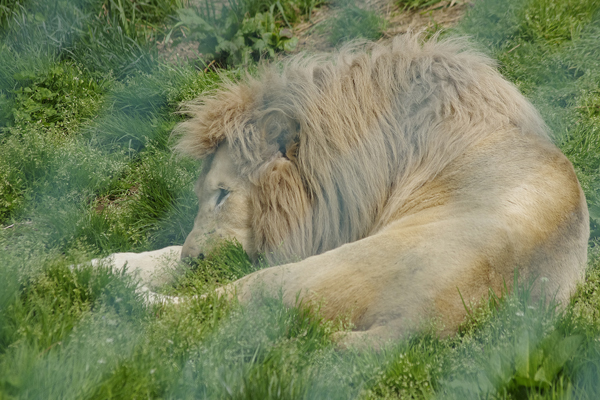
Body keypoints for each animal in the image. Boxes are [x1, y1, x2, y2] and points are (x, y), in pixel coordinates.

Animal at [106, 36, 584, 346]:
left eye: (222, 194)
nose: (194, 260)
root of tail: (423, 324)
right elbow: (169, 252)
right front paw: (111, 262)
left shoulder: (320, 232)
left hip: (313, 269)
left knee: (209, 306)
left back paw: (123, 296)